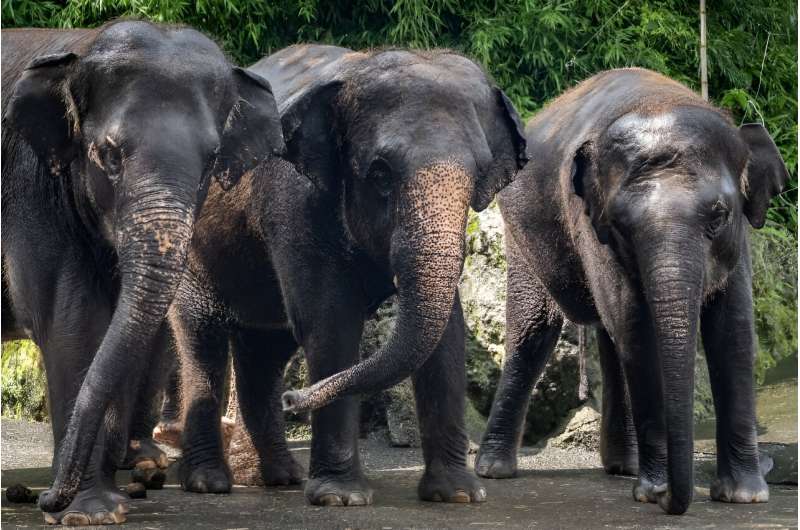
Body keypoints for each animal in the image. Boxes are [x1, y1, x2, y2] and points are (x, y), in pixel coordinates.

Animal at [0, 20, 284, 524]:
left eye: (211, 160)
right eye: (109, 154)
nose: (46, 499)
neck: (85, 43)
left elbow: (115, 325)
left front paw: (102, 505)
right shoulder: (31, 190)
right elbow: (71, 323)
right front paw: (93, 514)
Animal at [172, 44, 528, 504]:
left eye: (478, 174)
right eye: (380, 174)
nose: (294, 400)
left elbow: (448, 333)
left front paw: (458, 495)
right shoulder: (295, 205)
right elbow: (330, 324)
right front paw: (340, 498)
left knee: (265, 349)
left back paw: (278, 477)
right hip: (191, 249)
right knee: (202, 340)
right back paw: (210, 483)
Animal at [472, 68, 792, 512]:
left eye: (719, 216)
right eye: (622, 225)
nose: (673, 500)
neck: (660, 102)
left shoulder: (739, 240)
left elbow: (733, 331)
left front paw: (743, 496)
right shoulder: (592, 223)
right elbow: (637, 329)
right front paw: (654, 491)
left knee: (609, 337)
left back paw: (623, 466)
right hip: (521, 233)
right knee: (534, 332)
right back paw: (494, 469)